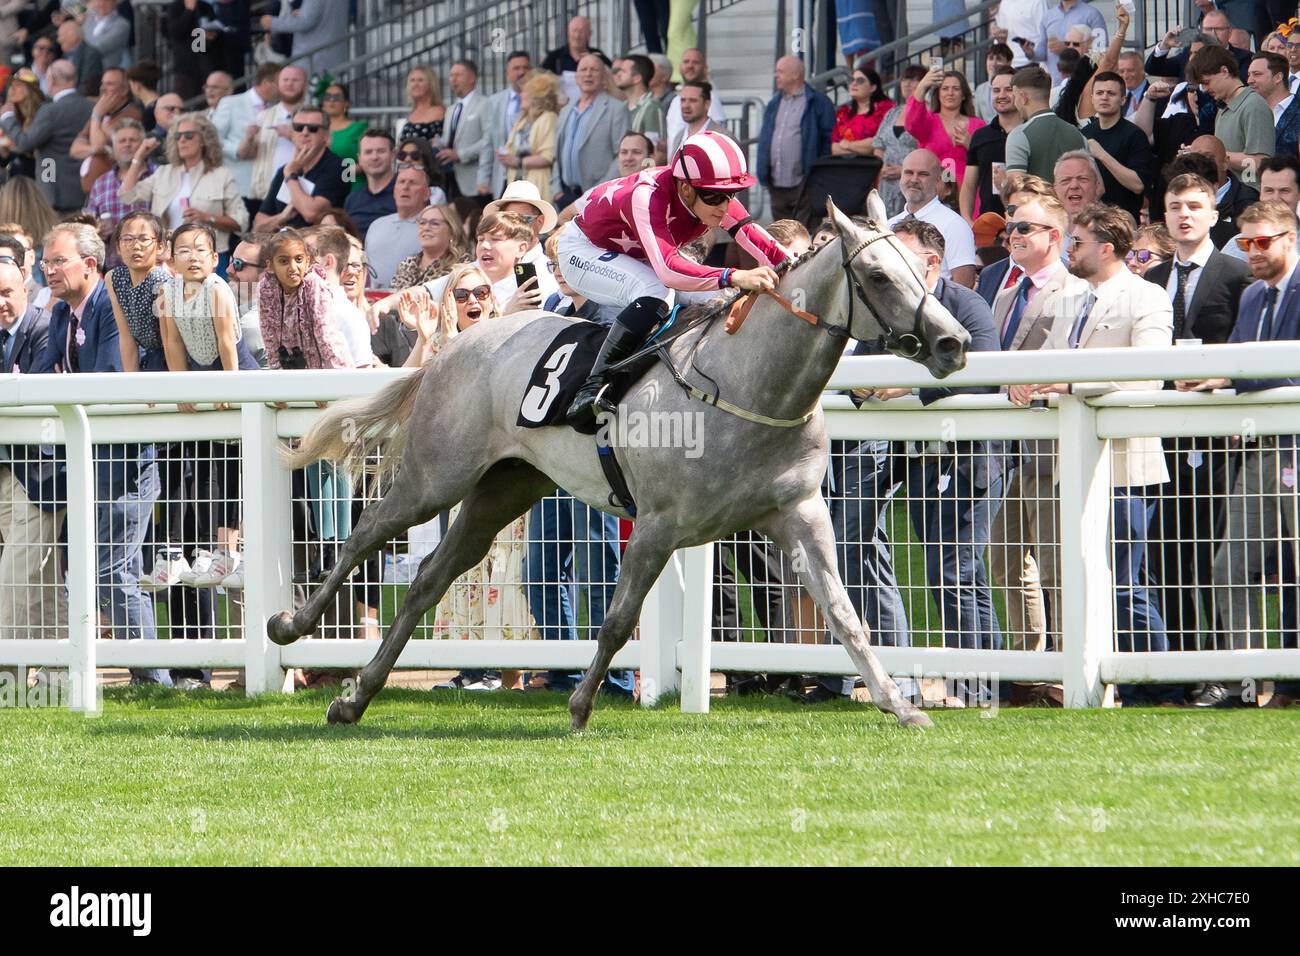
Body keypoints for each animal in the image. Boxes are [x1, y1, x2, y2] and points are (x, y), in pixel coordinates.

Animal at [269, 197, 972, 728]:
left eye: (920, 268)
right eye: (878, 275)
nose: (953, 342)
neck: (748, 386)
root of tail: (453, 346)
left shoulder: (799, 513)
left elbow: (847, 615)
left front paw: (900, 706)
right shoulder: (659, 524)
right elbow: (617, 620)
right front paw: (580, 705)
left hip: (504, 490)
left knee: (427, 581)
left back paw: (354, 698)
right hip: (437, 477)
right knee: (367, 533)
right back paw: (289, 625)